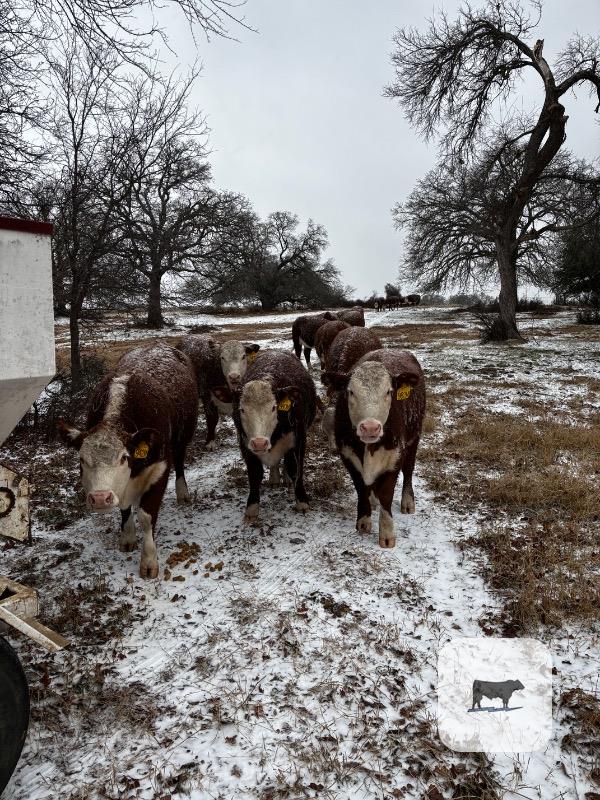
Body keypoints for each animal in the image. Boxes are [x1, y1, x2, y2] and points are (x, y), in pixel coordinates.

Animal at [57, 344, 199, 579]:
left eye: (124, 457)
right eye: (82, 459)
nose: (100, 498)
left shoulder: (160, 468)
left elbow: (146, 516)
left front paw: (149, 561)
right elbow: (124, 508)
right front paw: (127, 537)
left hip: (183, 435)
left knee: (180, 461)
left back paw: (183, 493)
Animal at [232, 351, 317, 521]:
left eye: (273, 407)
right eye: (242, 409)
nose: (259, 443)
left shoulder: (298, 439)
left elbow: (295, 469)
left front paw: (302, 502)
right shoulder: (245, 444)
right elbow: (254, 474)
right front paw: (252, 509)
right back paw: (274, 479)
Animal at [323, 348, 425, 548]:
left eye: (389, 391)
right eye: (350, 392)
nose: (370, 427)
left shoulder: (395, 457)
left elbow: (386, 494)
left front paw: (386, 534)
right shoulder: (347, 456)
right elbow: (361, 488)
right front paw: (363, 522)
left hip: (414, 437)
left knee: (409, 470)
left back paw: (408, 502)